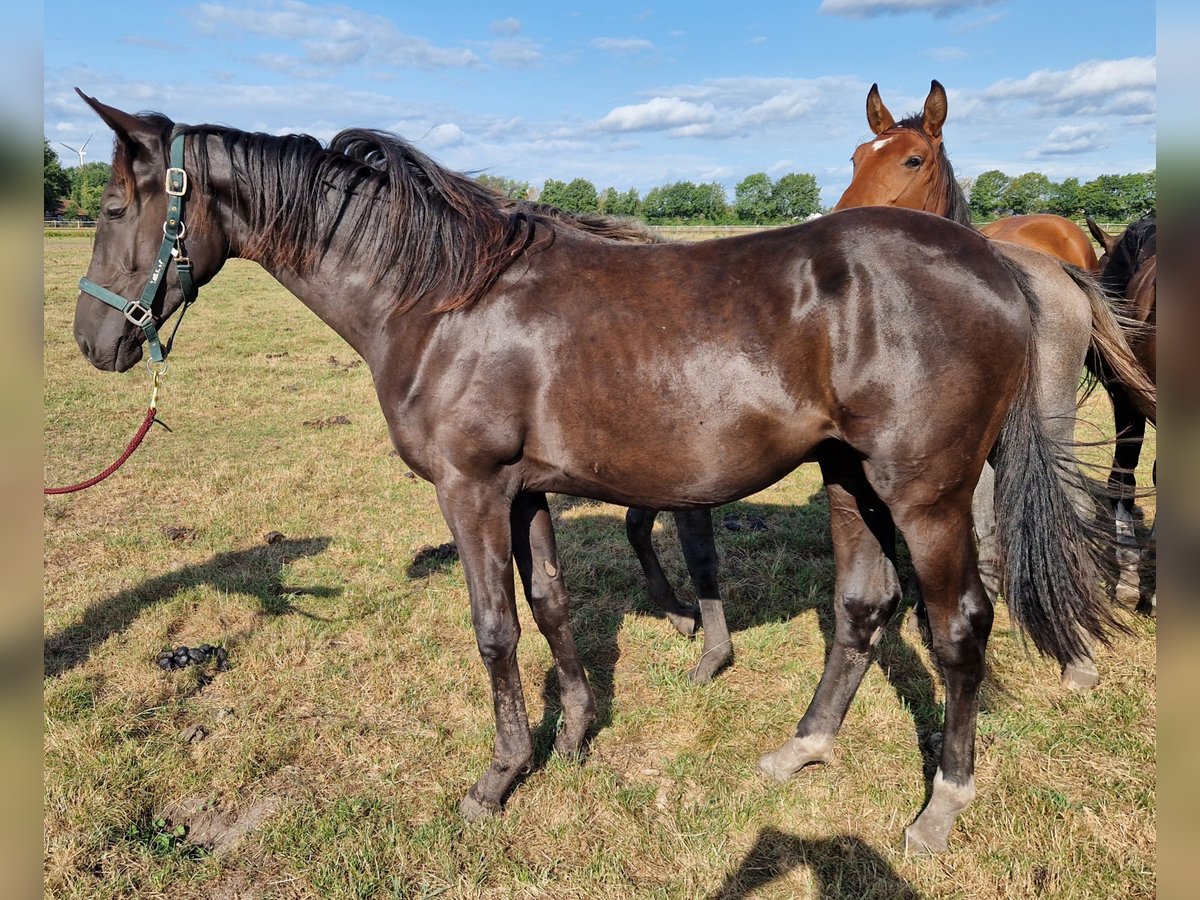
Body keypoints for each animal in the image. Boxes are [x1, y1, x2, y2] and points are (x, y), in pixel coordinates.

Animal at [68, 90, 1122, 853]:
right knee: (864, 607)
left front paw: (498, 777)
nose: (91, 342)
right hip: (849, 477)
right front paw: (574, 733)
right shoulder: (525, 488)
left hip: (927, 491)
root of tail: (995, 263)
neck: (442, 299)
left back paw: (943, 802)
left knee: (961, 626)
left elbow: (494, 629)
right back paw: (804, 746)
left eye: (116, 207)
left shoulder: (472, 488)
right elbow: (550, 604)